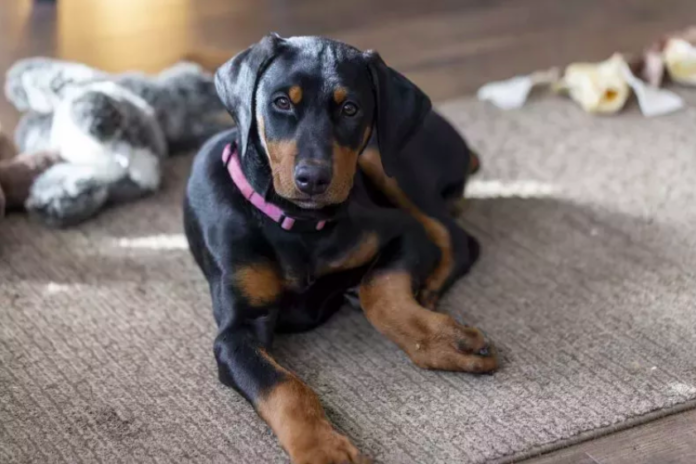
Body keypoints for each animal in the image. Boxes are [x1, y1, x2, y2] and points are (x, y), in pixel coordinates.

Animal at [182, 35, 498, 464]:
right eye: (281, 102)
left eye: (351, 108)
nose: (313, 179)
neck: (297, 224)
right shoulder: (235, 333)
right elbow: (282, 387)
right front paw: (323, 450)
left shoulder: (402, 231)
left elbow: (378, 290)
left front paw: (448, 342)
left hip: (384, 158)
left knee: (458, 238)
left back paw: (427, 292)